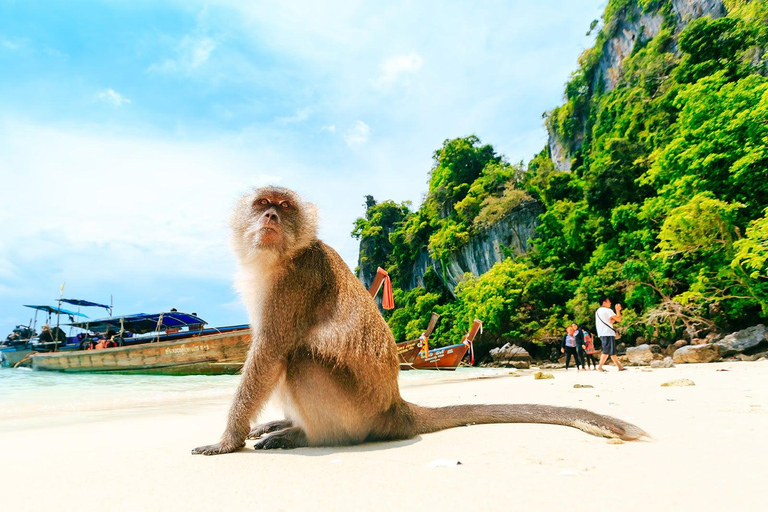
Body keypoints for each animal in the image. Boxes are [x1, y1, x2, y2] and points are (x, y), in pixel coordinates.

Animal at [190, 185, 640, 456]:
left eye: (283, 207)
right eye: (261, 205)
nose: (270, 218)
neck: (280, 258)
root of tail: (396, 408)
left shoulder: (294, 283)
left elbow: (268, 355)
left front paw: (226, 441)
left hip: (355, 413)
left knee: (298, 357)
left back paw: (306, 435)